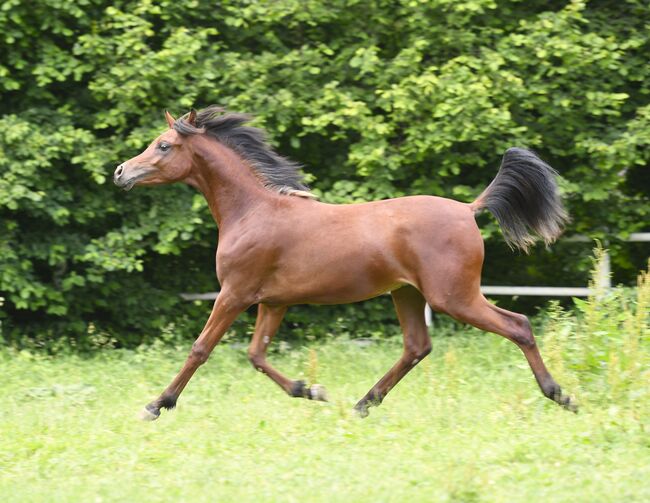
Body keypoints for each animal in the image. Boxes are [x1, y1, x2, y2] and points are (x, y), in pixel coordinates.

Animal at [114, 107, 576, 422]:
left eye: (164, 145)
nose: (121, 172)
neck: (252, 212)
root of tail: (468, 209)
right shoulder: (273, 302)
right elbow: (256, 355)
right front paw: (310, 390)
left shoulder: (235, 293)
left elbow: (201, 348)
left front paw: (156, 404)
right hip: (407, 294)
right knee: (416, 347)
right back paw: (361, 404)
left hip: (453, 296)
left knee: (518, 325)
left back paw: (560, 395)